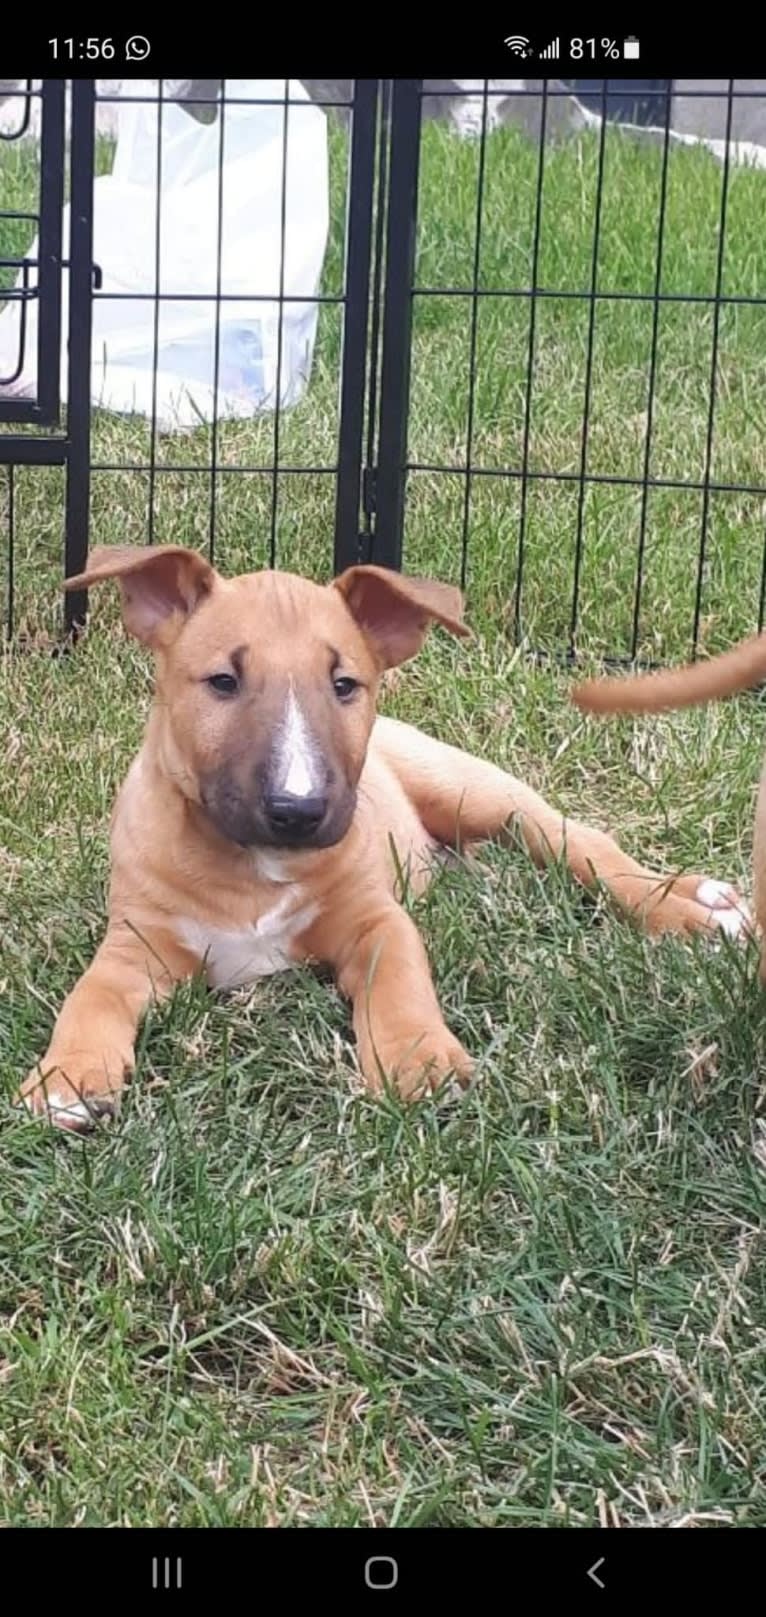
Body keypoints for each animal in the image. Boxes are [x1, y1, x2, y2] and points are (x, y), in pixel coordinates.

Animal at [17, 543, 746, 1125]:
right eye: (222, 680)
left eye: (345, 684)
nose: (298, 810)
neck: (256, 867)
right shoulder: (135, 946)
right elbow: (89, 998)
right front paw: (69, 1075)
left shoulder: (374, 920)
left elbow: (399, 981)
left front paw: (418, 1061)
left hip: (472, 789)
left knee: (580, 840)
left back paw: (693, 907)